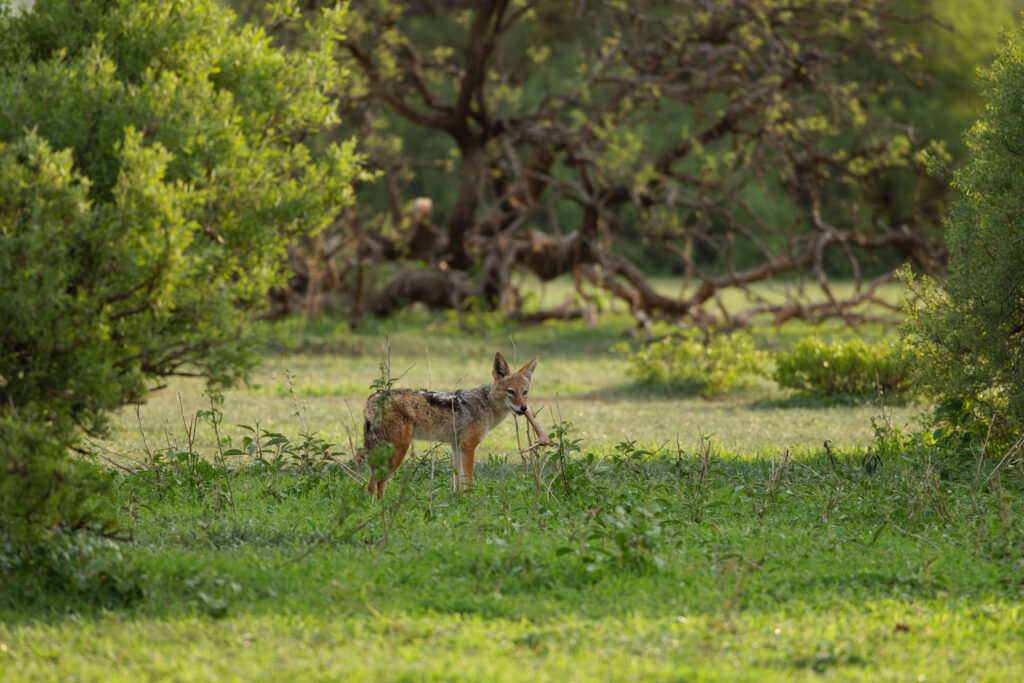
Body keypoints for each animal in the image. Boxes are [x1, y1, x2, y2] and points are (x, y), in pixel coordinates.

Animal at [363, 352, 539, 498]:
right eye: (511, 392)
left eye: (525, 393)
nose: (524, 408)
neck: (485, 404)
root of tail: (374, 397)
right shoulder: (468, 446)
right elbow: (469, 481)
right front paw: (471, 503)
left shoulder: (457, 446)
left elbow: (460, 482)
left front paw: (460, 501)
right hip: (398, 450)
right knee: (380, 483)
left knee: (370, 486)